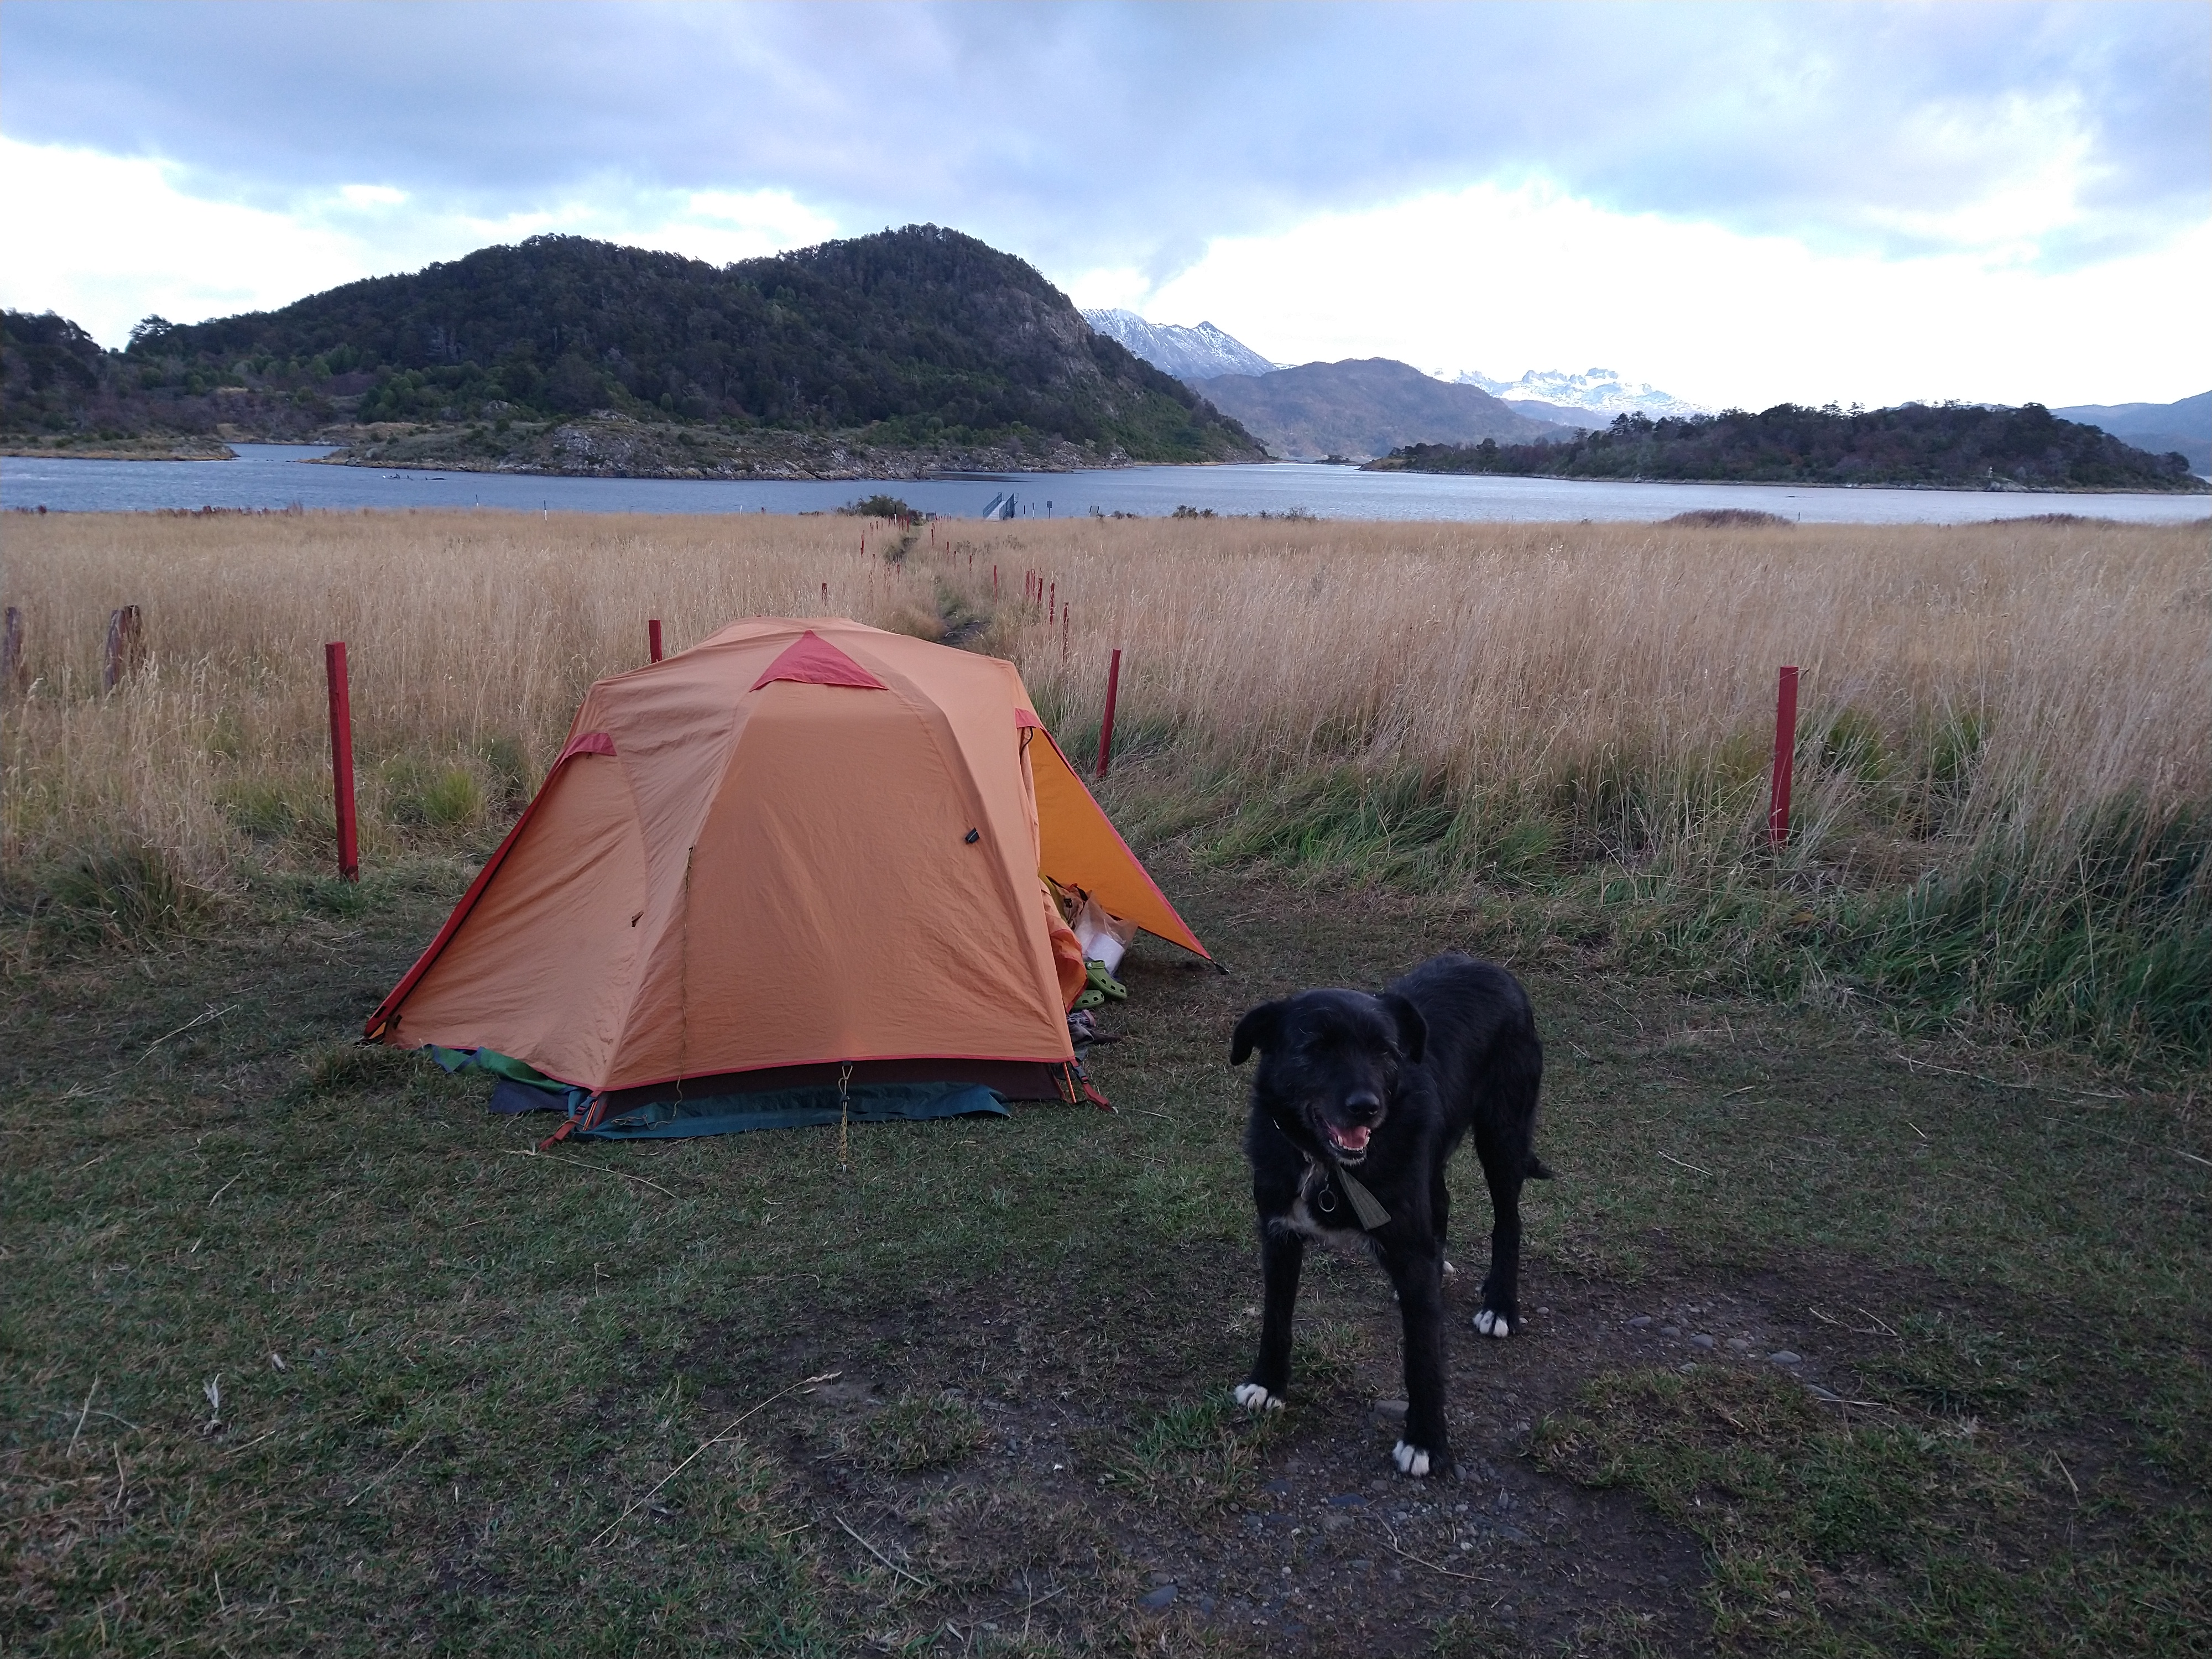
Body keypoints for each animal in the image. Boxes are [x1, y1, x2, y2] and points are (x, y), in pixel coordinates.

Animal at [1229, 952, 1549, 1478]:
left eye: (1385, 1051)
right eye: (1314, 1048)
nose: (1367, 1108)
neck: (1329, 1167)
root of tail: (1490, 967)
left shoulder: (1409, 1249)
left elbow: (1423, 1356)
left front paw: (1425, 1442)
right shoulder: (1279, 1237)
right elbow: (1276, 1318)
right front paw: (1268, 1383)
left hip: (1503, 1133)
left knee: (1509, 1221)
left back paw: (1502, 1304)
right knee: (1443, 1202)